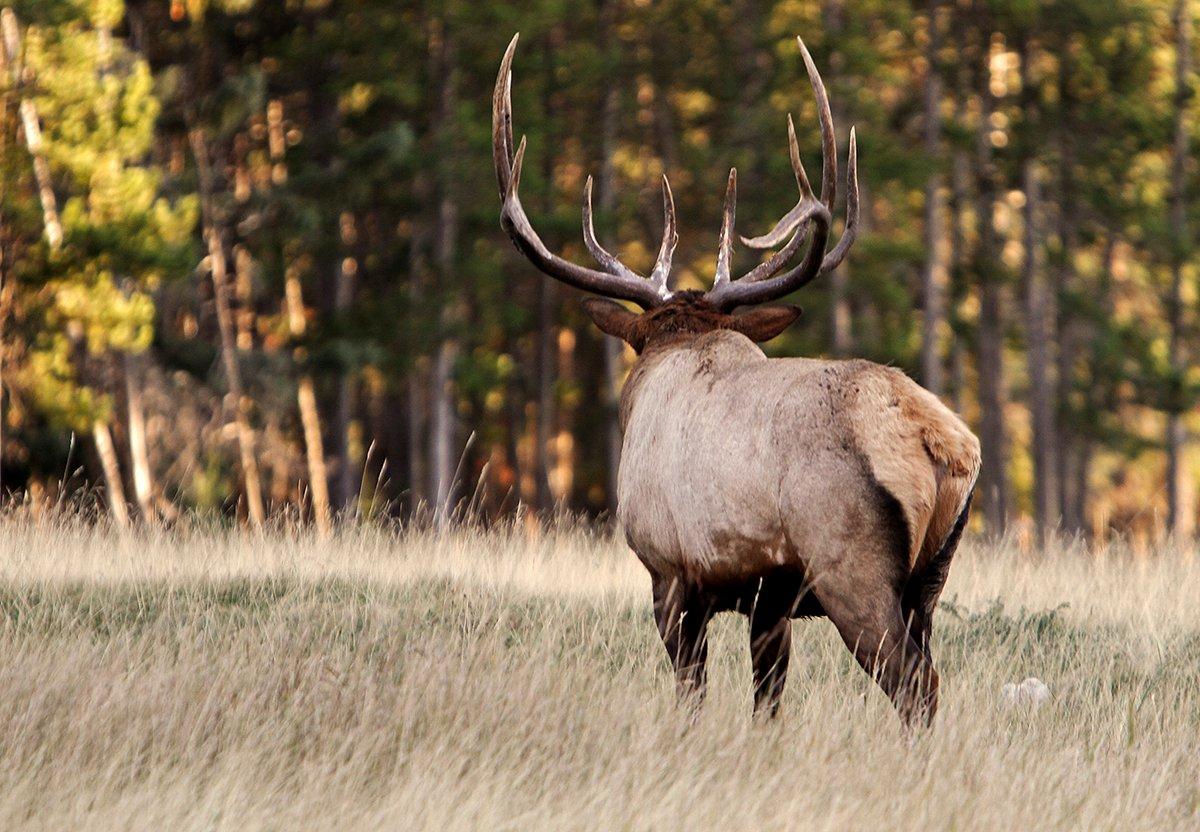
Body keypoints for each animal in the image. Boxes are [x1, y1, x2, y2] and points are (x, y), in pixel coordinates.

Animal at [492, 32, 979, 725]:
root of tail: (941, 443)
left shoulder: (669, 572)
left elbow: (692, 692)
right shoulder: (770, 599)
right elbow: (767, 699)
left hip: (850, 565)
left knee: (914, 683)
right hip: (932, 577)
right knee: (930, 673)